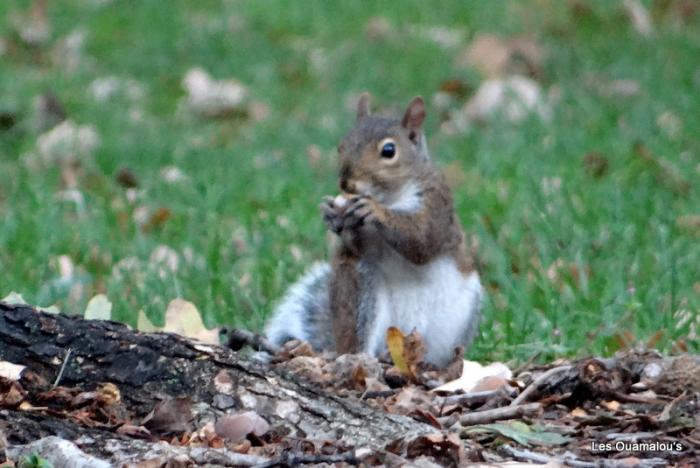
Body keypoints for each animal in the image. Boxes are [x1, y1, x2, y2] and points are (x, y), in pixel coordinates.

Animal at [262, 94, 482, 366]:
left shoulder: (437, 206)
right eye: (342, 145)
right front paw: (332, 215)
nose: (346, 183)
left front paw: (375, 211)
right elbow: (355, 243)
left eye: (389, 151)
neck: (391, 197)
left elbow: (423, 241)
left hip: (455, 322)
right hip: (359, 289)